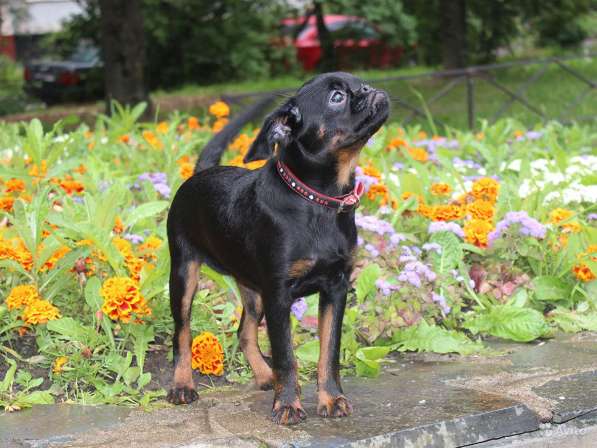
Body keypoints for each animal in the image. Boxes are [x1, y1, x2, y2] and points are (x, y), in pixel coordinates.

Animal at [166, 72, 392, 426]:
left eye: (360, 83)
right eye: (337, 98)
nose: (368, 89)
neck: (316, 200)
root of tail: (200, 172)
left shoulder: (336, 288)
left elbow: (329, 352)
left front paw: (331, 398)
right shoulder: (279, 294)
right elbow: (286, 356)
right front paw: (287, 404)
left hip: (253, 290)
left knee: (245, 332)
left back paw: (264, 375)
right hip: (183, 273)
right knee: (182, 332)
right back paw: (182, 385)